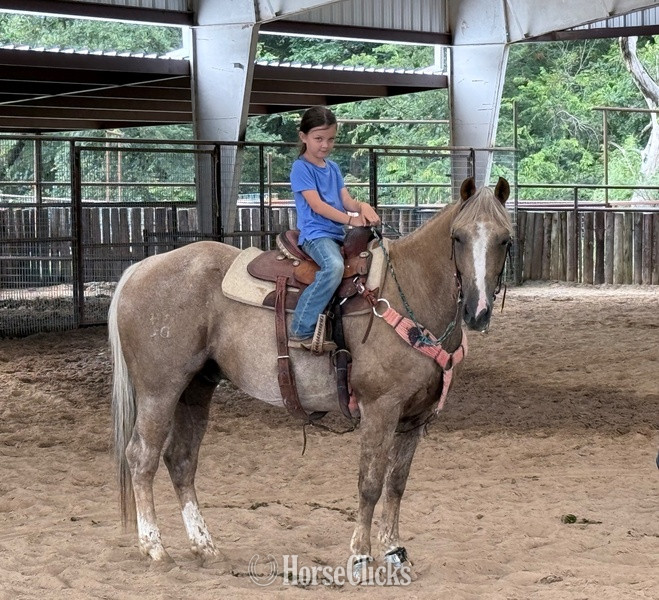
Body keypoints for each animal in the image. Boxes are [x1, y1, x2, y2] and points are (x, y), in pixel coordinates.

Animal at [108, 176, 513, 573]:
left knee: (180, 459)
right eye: (458, 237)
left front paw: (395, 551)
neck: (407, 295)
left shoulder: (416, 418)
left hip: (196, 388)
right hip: (160, 391)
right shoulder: (380, 409)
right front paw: (360, 555)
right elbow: (370, 483)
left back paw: (205, 547)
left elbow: (397, 483)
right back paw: (155, 548)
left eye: (505, 239)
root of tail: (140, 268)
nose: (478, 312)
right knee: (141, 457)